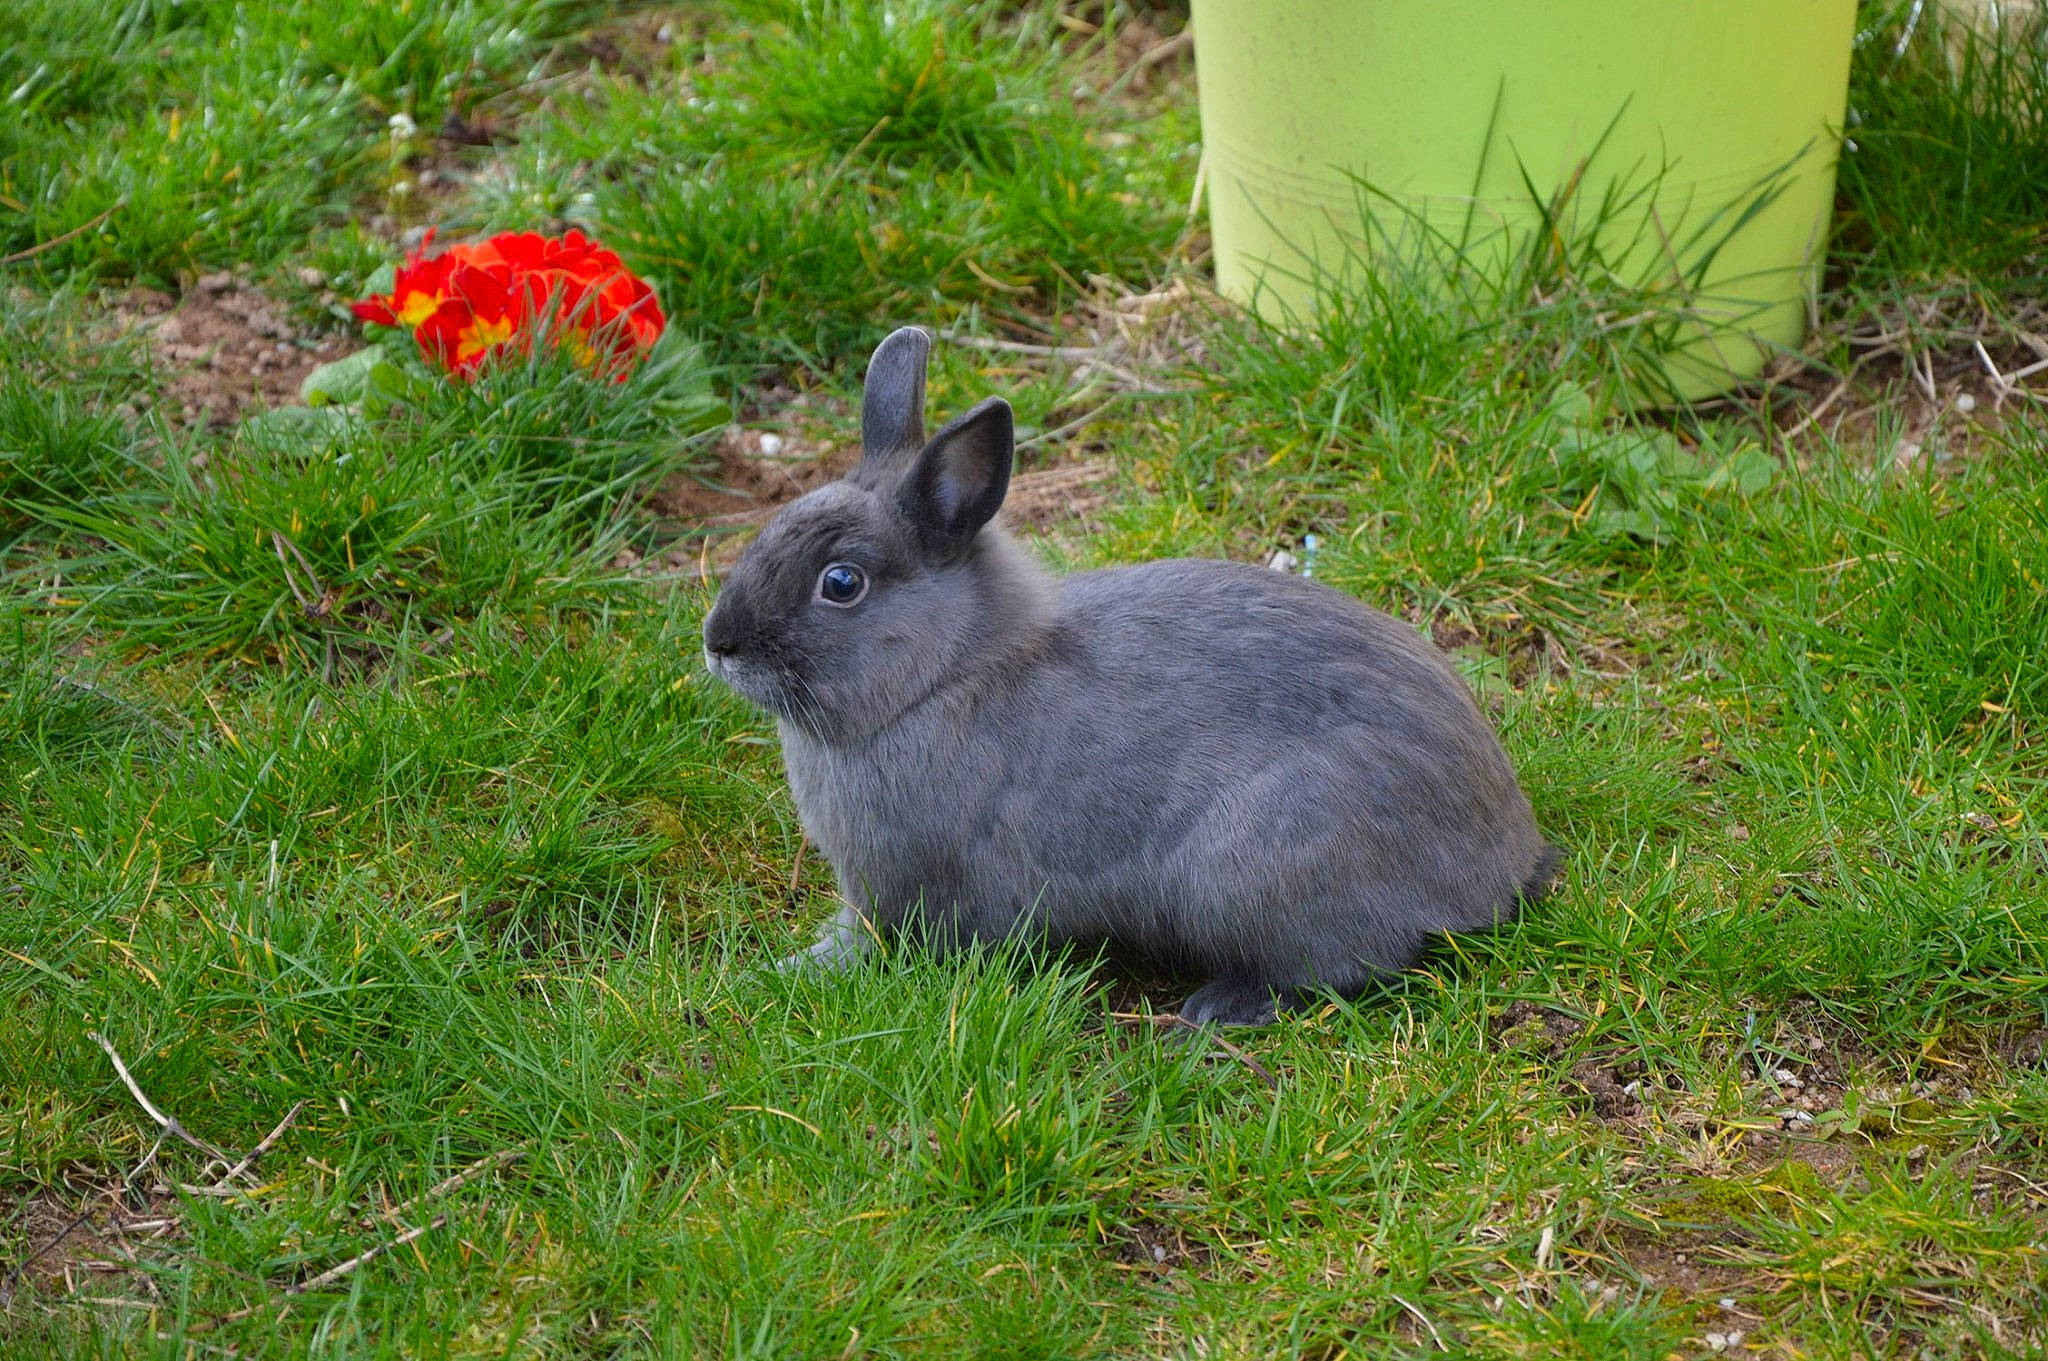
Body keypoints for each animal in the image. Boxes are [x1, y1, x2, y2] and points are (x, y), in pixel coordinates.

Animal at [702, 327, 1559, 1025]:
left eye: (841, 583)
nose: (719, 642)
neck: (945, 675)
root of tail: (1503, 860)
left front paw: (787, 971)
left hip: (1250, 870)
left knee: (1346, 966)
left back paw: (1220, 1007)